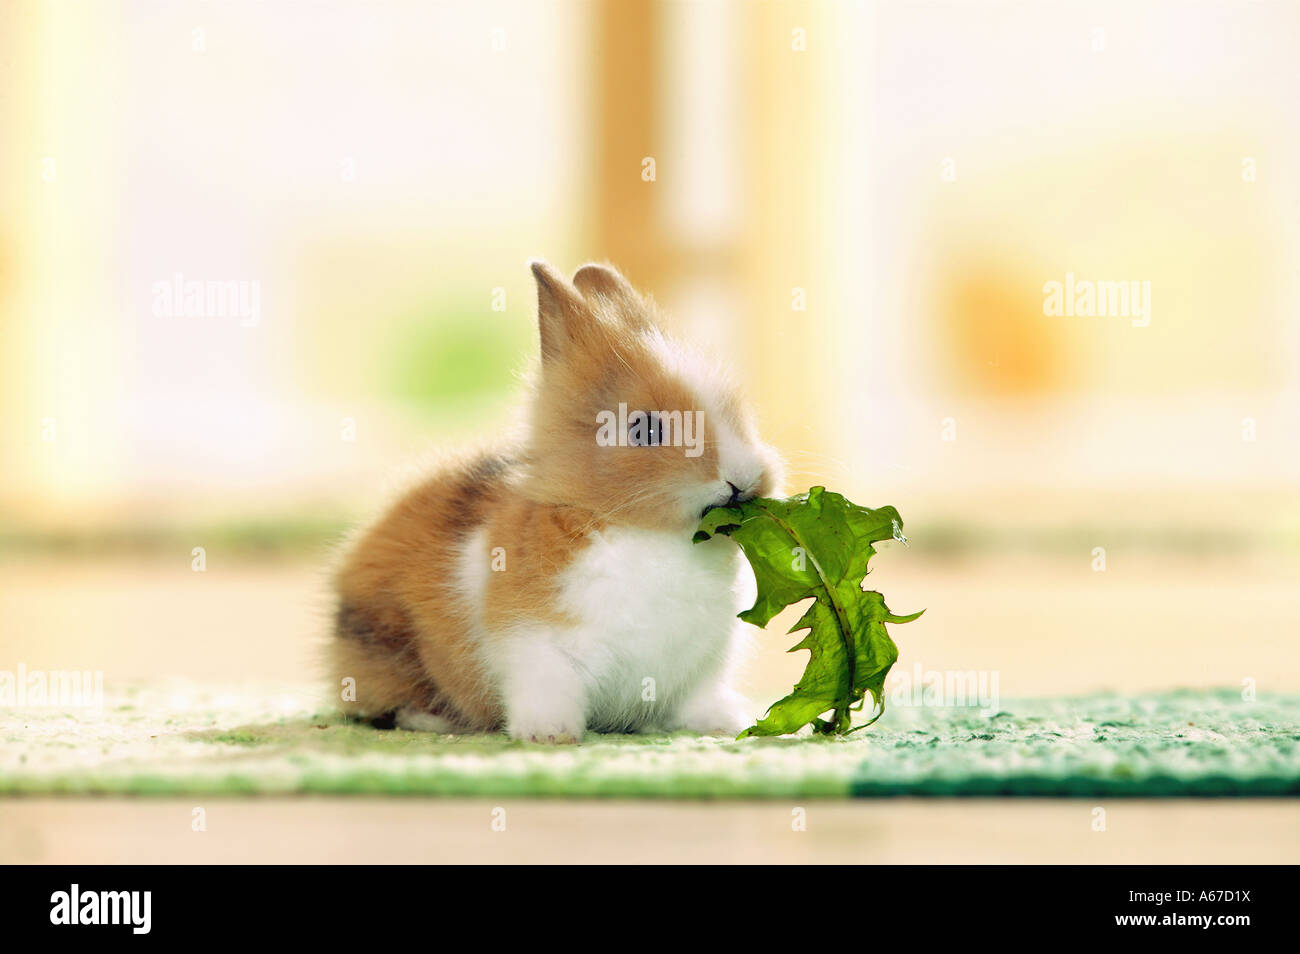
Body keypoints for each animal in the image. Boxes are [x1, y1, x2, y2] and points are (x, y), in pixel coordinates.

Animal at [328, 261, 782, 742]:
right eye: (645, 430)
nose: (744, 478)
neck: (645, 533)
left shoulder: (701, 667)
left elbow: (696, 700)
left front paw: (726, 723)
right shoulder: (535, 646)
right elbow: (548, 691)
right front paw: (549, 735)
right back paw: (433, 720)